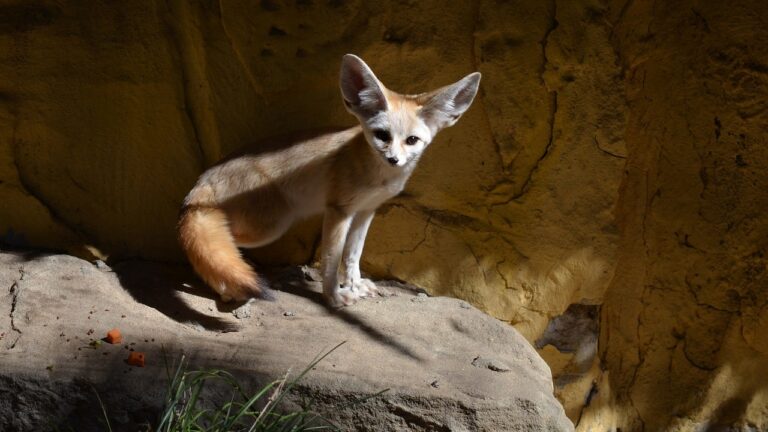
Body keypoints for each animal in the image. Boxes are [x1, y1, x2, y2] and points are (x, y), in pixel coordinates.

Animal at [178, 54, 481, 307]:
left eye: (412, 140)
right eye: (382, 136)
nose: (394, 159)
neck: (377, 176)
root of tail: (203, 180)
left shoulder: (366, 211)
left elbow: (353, 254)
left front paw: (355, 285)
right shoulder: (339, 211)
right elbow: (332, 261)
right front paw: (334, 295)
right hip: (270, 226)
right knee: (217, 243)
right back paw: (228, 288)